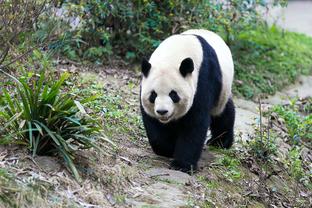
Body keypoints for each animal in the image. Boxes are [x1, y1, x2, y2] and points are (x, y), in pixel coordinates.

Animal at [140, 28, 235, 172]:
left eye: (173, 95)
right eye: (153, 95)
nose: (162, 111)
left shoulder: (203, 80)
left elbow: (195, 122)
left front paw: (181, 165)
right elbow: (152, 123)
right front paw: (168, 148)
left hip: (222, 89)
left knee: (223, 112)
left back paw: (220, 142)